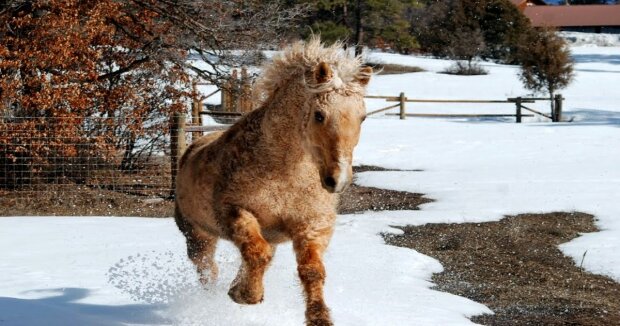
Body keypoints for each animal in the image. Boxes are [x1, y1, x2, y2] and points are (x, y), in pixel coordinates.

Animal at [172, 37, 370, 324]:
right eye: (319, 115)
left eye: (362, 117)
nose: (338, 180)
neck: (285, 173)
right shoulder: (234, 212)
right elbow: (258, 253)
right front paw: (246, 295)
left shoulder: (313, 225)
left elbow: (312, 270)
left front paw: (319, 317)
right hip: (198, 235)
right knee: (208, 270)